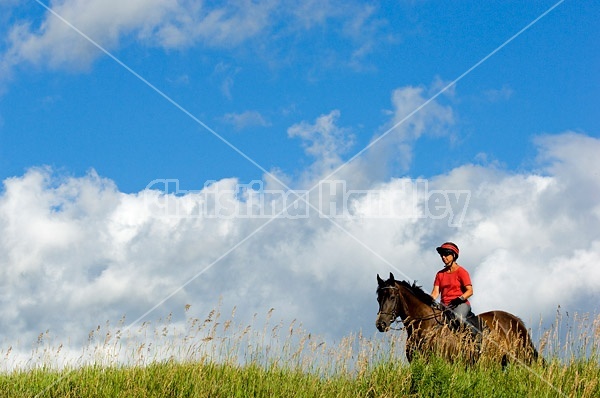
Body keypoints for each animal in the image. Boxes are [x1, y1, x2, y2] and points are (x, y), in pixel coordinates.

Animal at [376, 270, 540, 366]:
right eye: (378, 298)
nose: (380, 324)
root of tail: (514, 319)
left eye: (392, 297)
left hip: (520, 357)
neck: (425, 326)